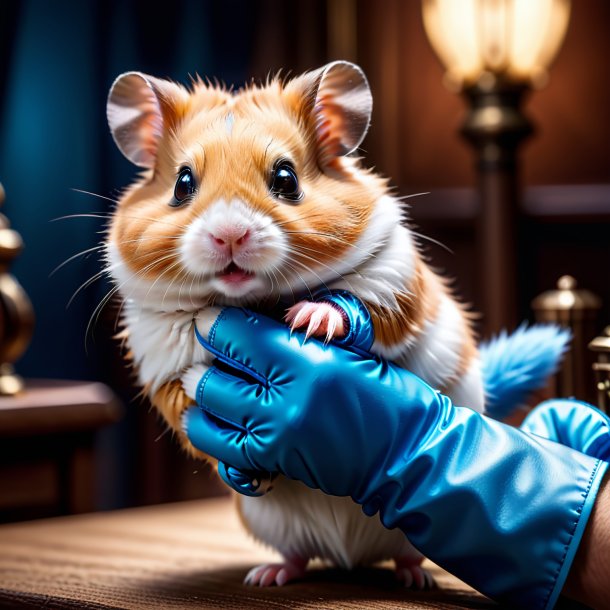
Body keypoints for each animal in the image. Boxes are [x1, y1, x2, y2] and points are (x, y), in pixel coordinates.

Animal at [105, 60, 484, 584]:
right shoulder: (161, 354)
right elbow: (189, 399)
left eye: (286, 178)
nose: (229, 235)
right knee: (298, 554)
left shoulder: (394, 280)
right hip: (273, 526)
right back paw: (269, 575)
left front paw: (309, 321)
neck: (256, 299)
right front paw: (242, 461)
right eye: (182, 184)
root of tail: (350, 559)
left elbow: (357, 304)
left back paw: (414, 576)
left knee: (408, 552)